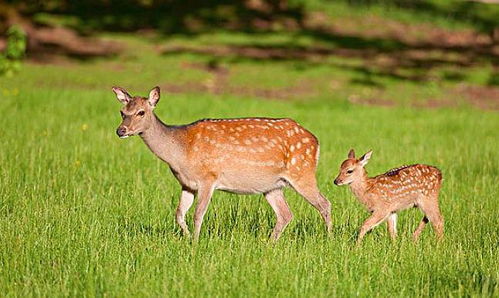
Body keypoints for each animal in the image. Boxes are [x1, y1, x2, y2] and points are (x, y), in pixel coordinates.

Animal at [113, 85, 332, 240]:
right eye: (122, 112)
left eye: (141, 112)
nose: (121, 130)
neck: (181, 152)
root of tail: (316, 141)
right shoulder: (187, 184)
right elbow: (179, 214)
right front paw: (186, 238)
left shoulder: (208, 178)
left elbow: (198, 214)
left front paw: (195, 243)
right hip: (272, 185)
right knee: (286, 214)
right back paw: (269, 244)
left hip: (302, 172)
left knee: (324, 204)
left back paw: (328, 239)